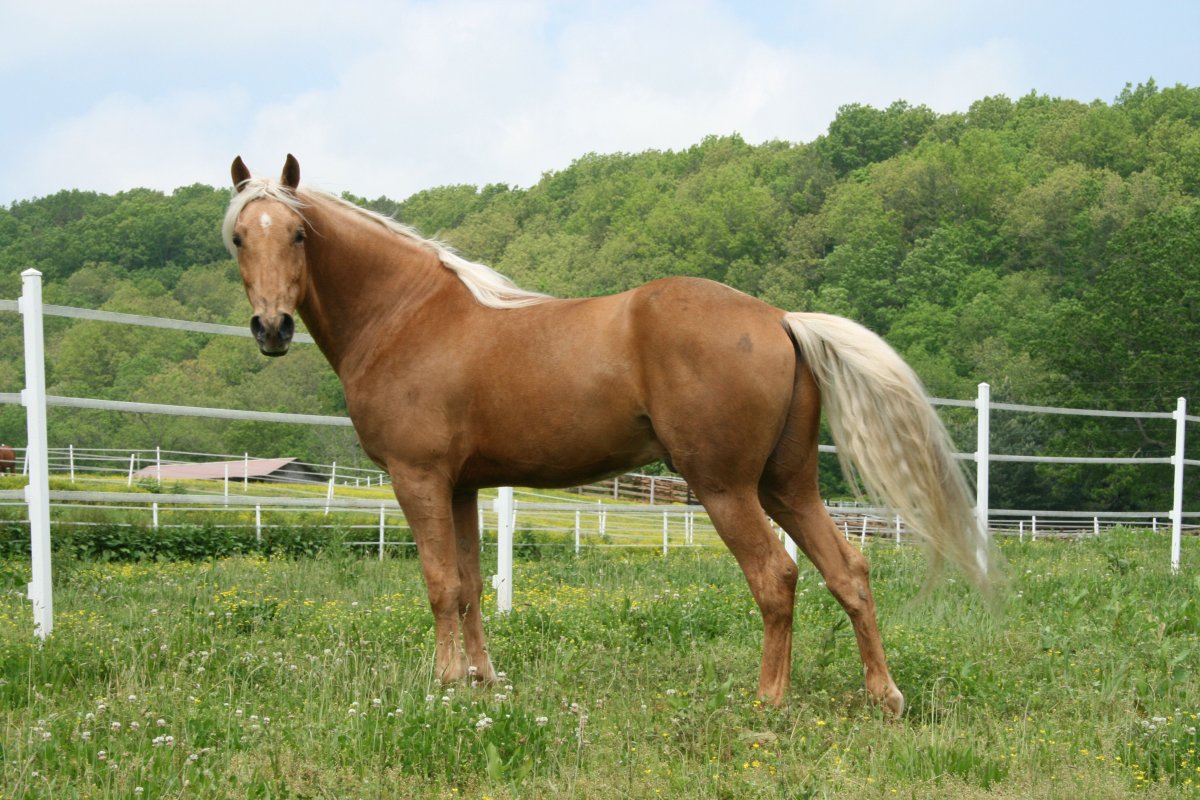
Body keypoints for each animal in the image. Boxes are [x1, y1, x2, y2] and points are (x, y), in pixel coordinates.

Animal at [224, 154, 991, 716]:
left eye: (297, 234)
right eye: (238, 237)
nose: (271, 328)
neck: (407, 314)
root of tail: (778, 318)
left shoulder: (419, 479)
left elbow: (440, 583)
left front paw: (443, 683)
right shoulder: (463, 487)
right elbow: (470, 584)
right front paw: (482, 679)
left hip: (725, 488)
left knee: (776, 576)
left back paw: (768, 700)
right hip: (788, 486)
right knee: (848, 571)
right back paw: (884, 695)